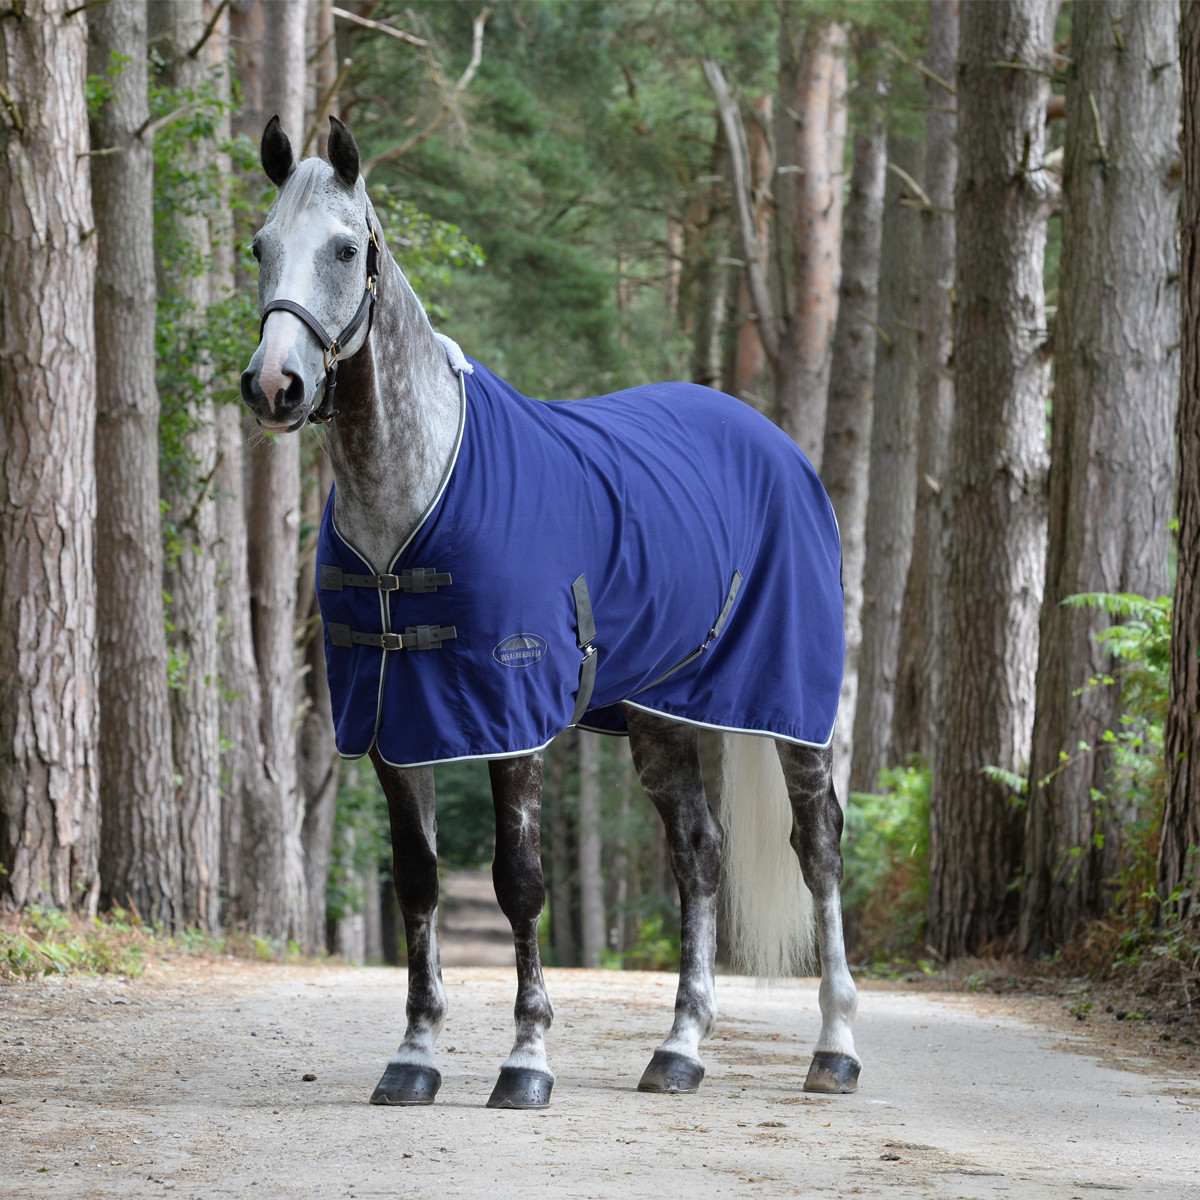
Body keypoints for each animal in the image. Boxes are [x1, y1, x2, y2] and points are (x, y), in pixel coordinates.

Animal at [240, 116, 860, 1110]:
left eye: (342, 248)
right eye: (259, 246)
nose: (274, 387)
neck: (410, 497)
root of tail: (779, 447)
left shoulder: (510, 717)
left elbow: (519, 881)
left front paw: (526, 1058)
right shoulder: (393, 721)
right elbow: (419, 881)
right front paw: (415, 1055)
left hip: (792, 706)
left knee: (820, 846)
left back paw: (834, 1048)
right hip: (661, 716)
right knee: (699, 853)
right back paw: (678, 1050)